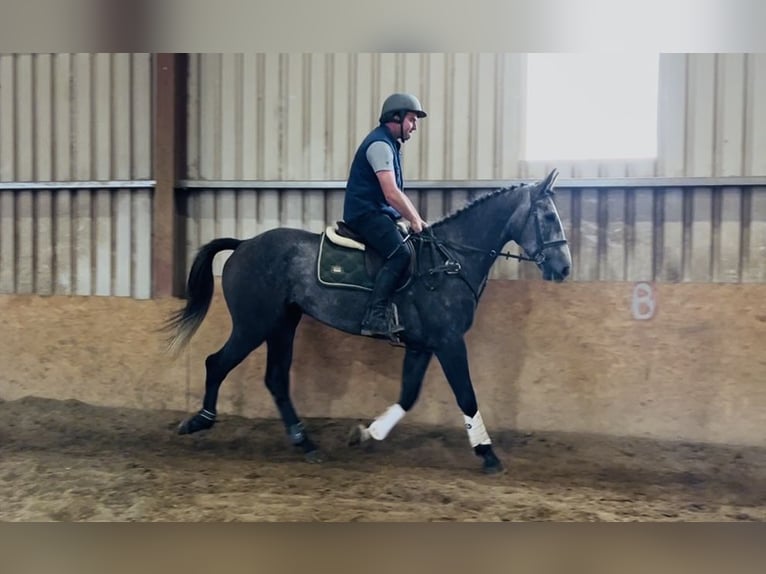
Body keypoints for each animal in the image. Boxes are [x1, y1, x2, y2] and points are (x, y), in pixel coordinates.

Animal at [165, 169, 571, 474]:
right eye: (549, 216)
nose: (564, 268)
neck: (450, 260)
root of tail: (244, 244)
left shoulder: (423, 345)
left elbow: (408, 396)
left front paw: (366, 434)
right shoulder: (449, 341)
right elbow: (466, 396)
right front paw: (488, 454)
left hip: (283, 325)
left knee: (276, 379)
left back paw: (305, 443)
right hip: (254, 325)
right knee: (217, 363)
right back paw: (200, 421)